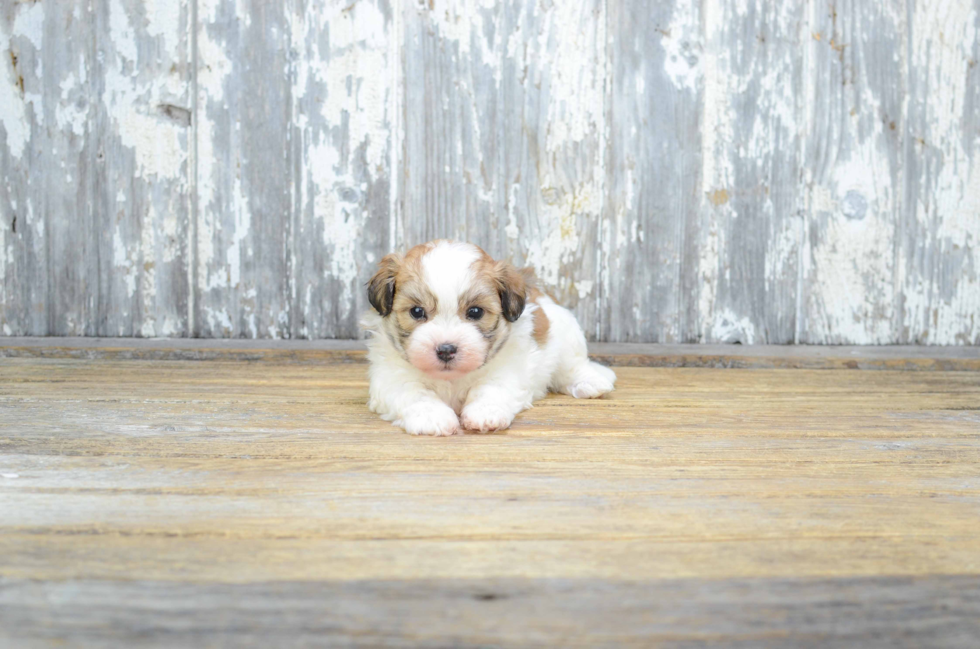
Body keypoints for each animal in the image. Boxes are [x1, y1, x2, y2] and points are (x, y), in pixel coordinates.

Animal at [364, 239, 616, 436]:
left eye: (475, 312)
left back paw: (590, 381)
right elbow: (414, 393)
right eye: (417, 312)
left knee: (572, 366)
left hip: (566, 335)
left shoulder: (506, 370)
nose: (446, 349)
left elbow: (490, 388)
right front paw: (432, 416)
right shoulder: (392, 378)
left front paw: (485, 413)